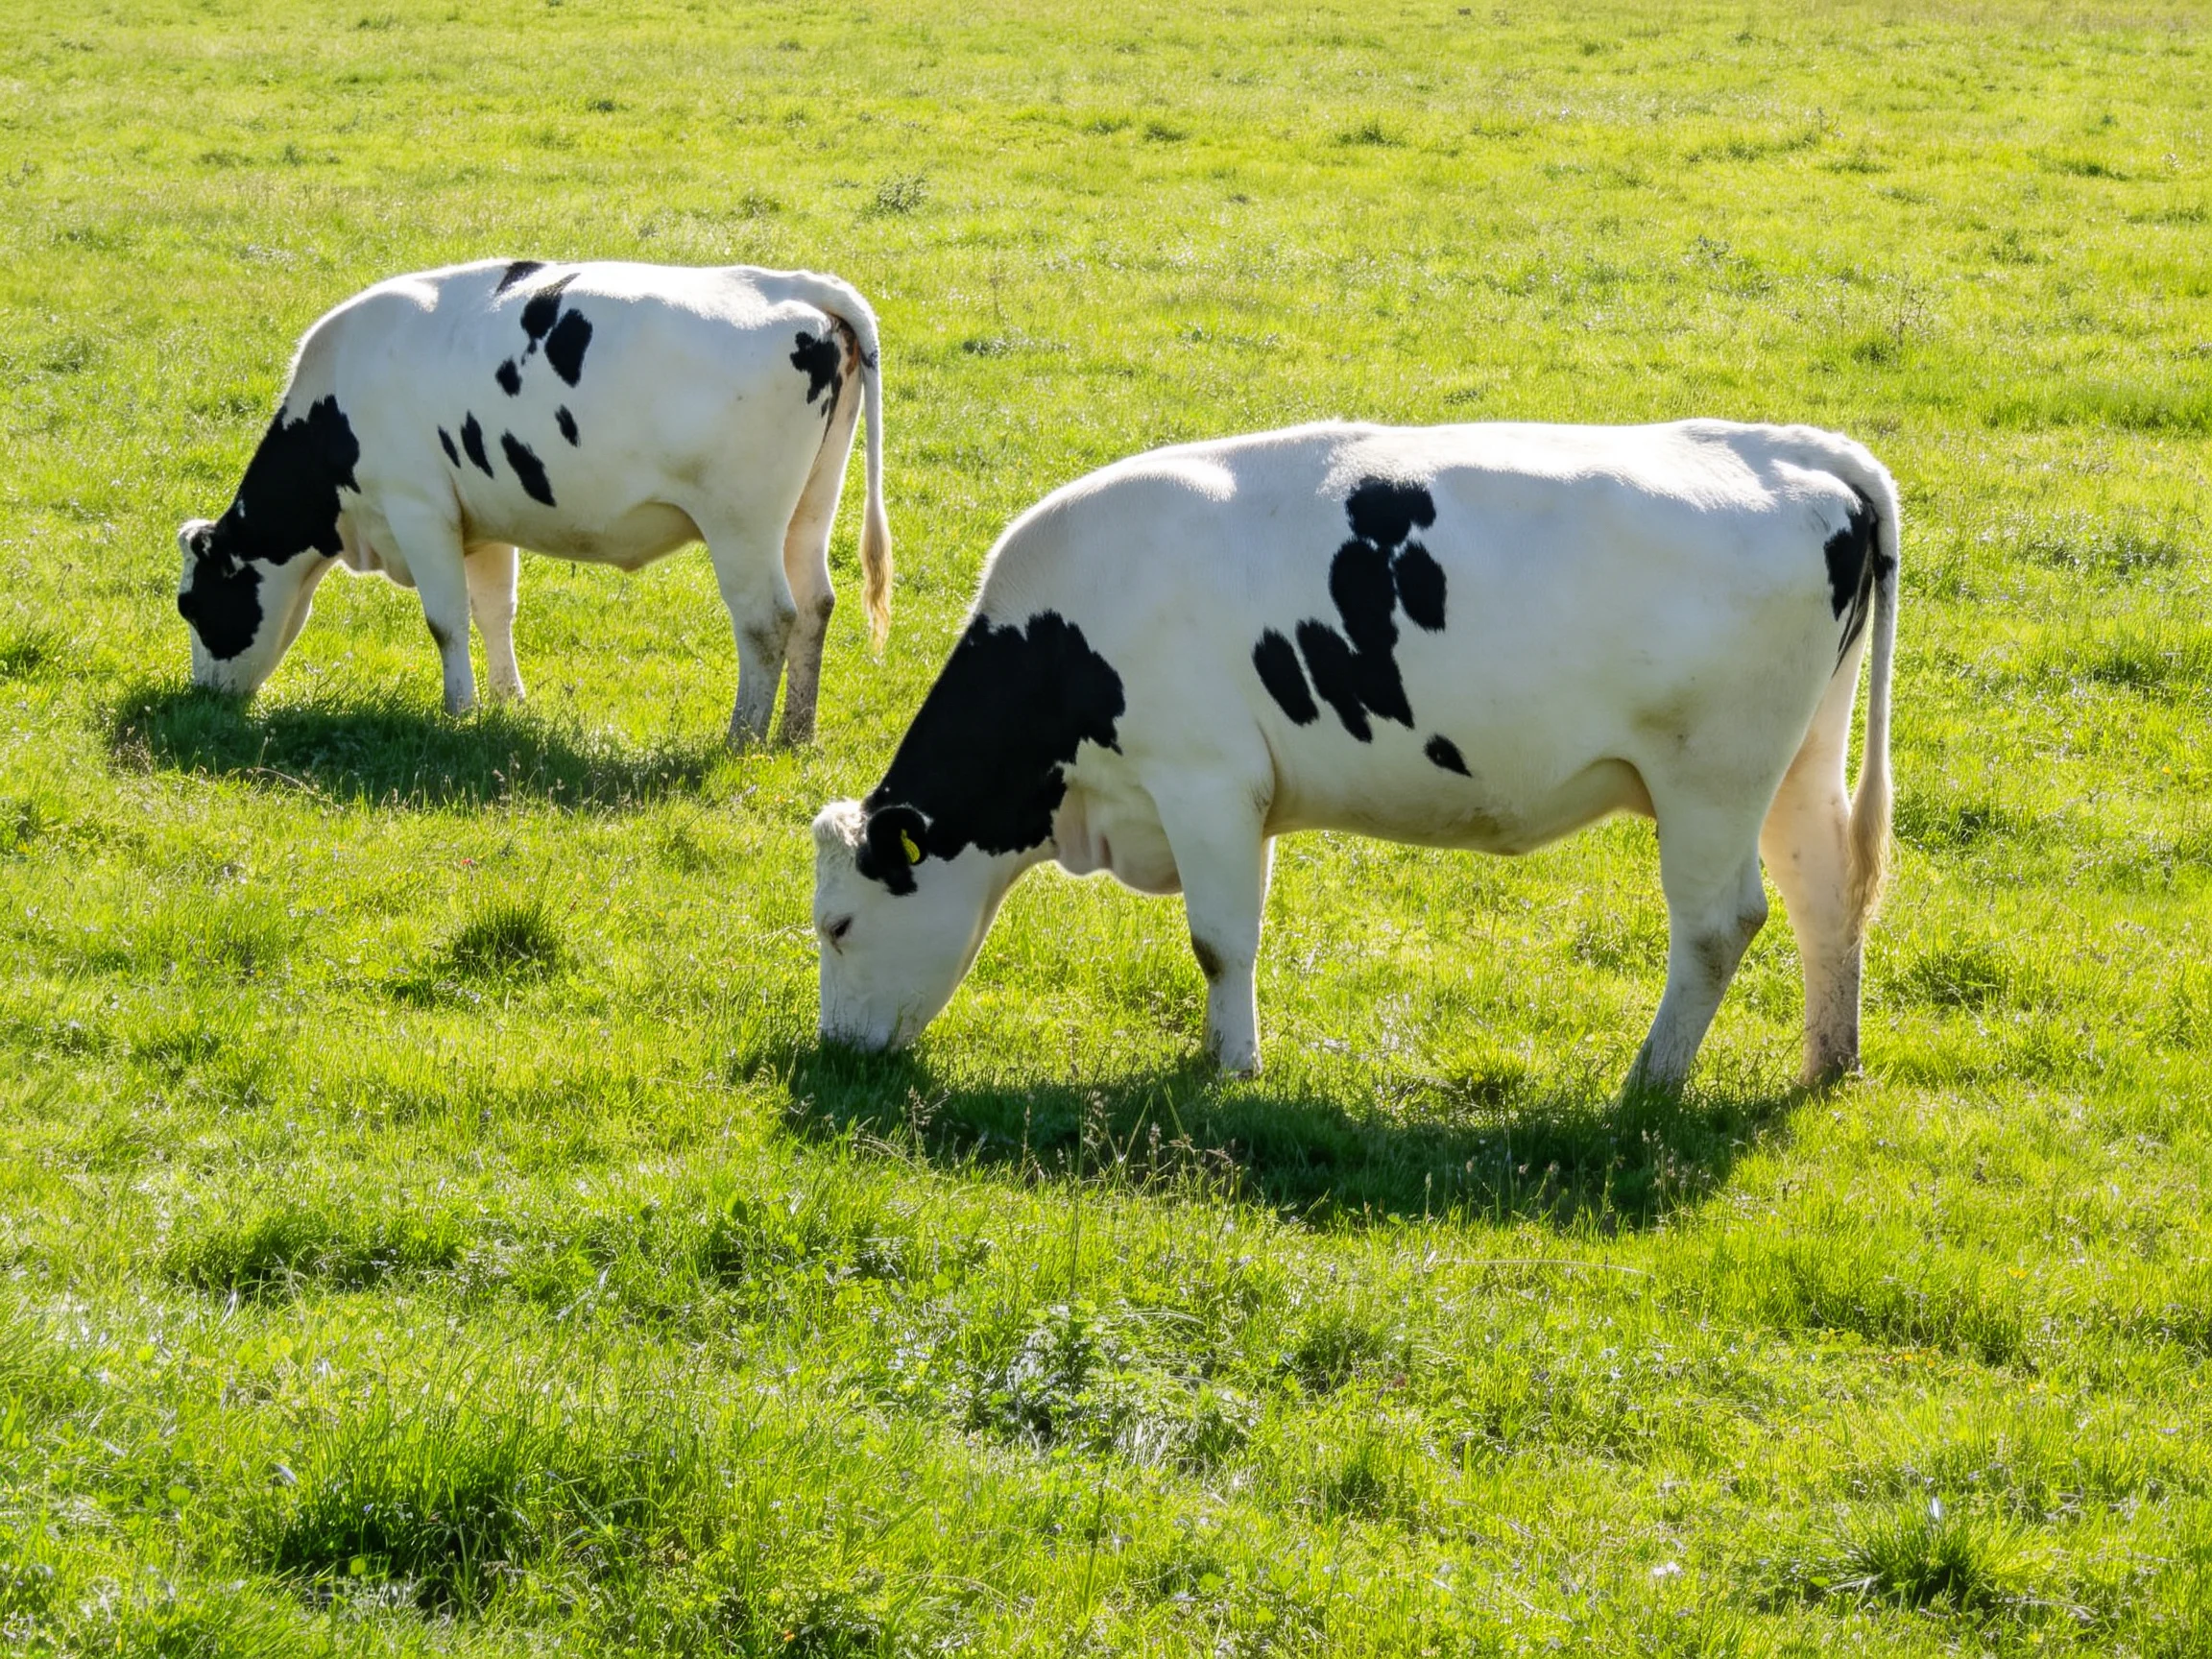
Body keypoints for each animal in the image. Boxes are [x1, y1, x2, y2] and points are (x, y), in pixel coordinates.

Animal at [175, 258, 892, 745]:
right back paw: (796, 731)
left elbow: (444, 619)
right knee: (816, 605)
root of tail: (793, 284)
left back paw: (742, 736)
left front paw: (458, 711)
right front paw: (506, 703)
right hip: (810, 508)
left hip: (742, 522)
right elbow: (494, 611)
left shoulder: (418, 509)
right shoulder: (481, 519)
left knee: (768, 619)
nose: (202, 699)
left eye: (192, 606)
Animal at [812, 419, 1899, 1096]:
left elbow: (1219, 940)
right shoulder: (1244, 798)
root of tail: (1794, 450)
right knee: (1824, 892)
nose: (837, 1053)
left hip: (1712, 778)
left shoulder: (1202, 779)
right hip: (1797, 762)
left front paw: (1232, 1069)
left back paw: (1652, 1080)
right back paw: (1826, 1063)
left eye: (836, 925)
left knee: (1720, 925)